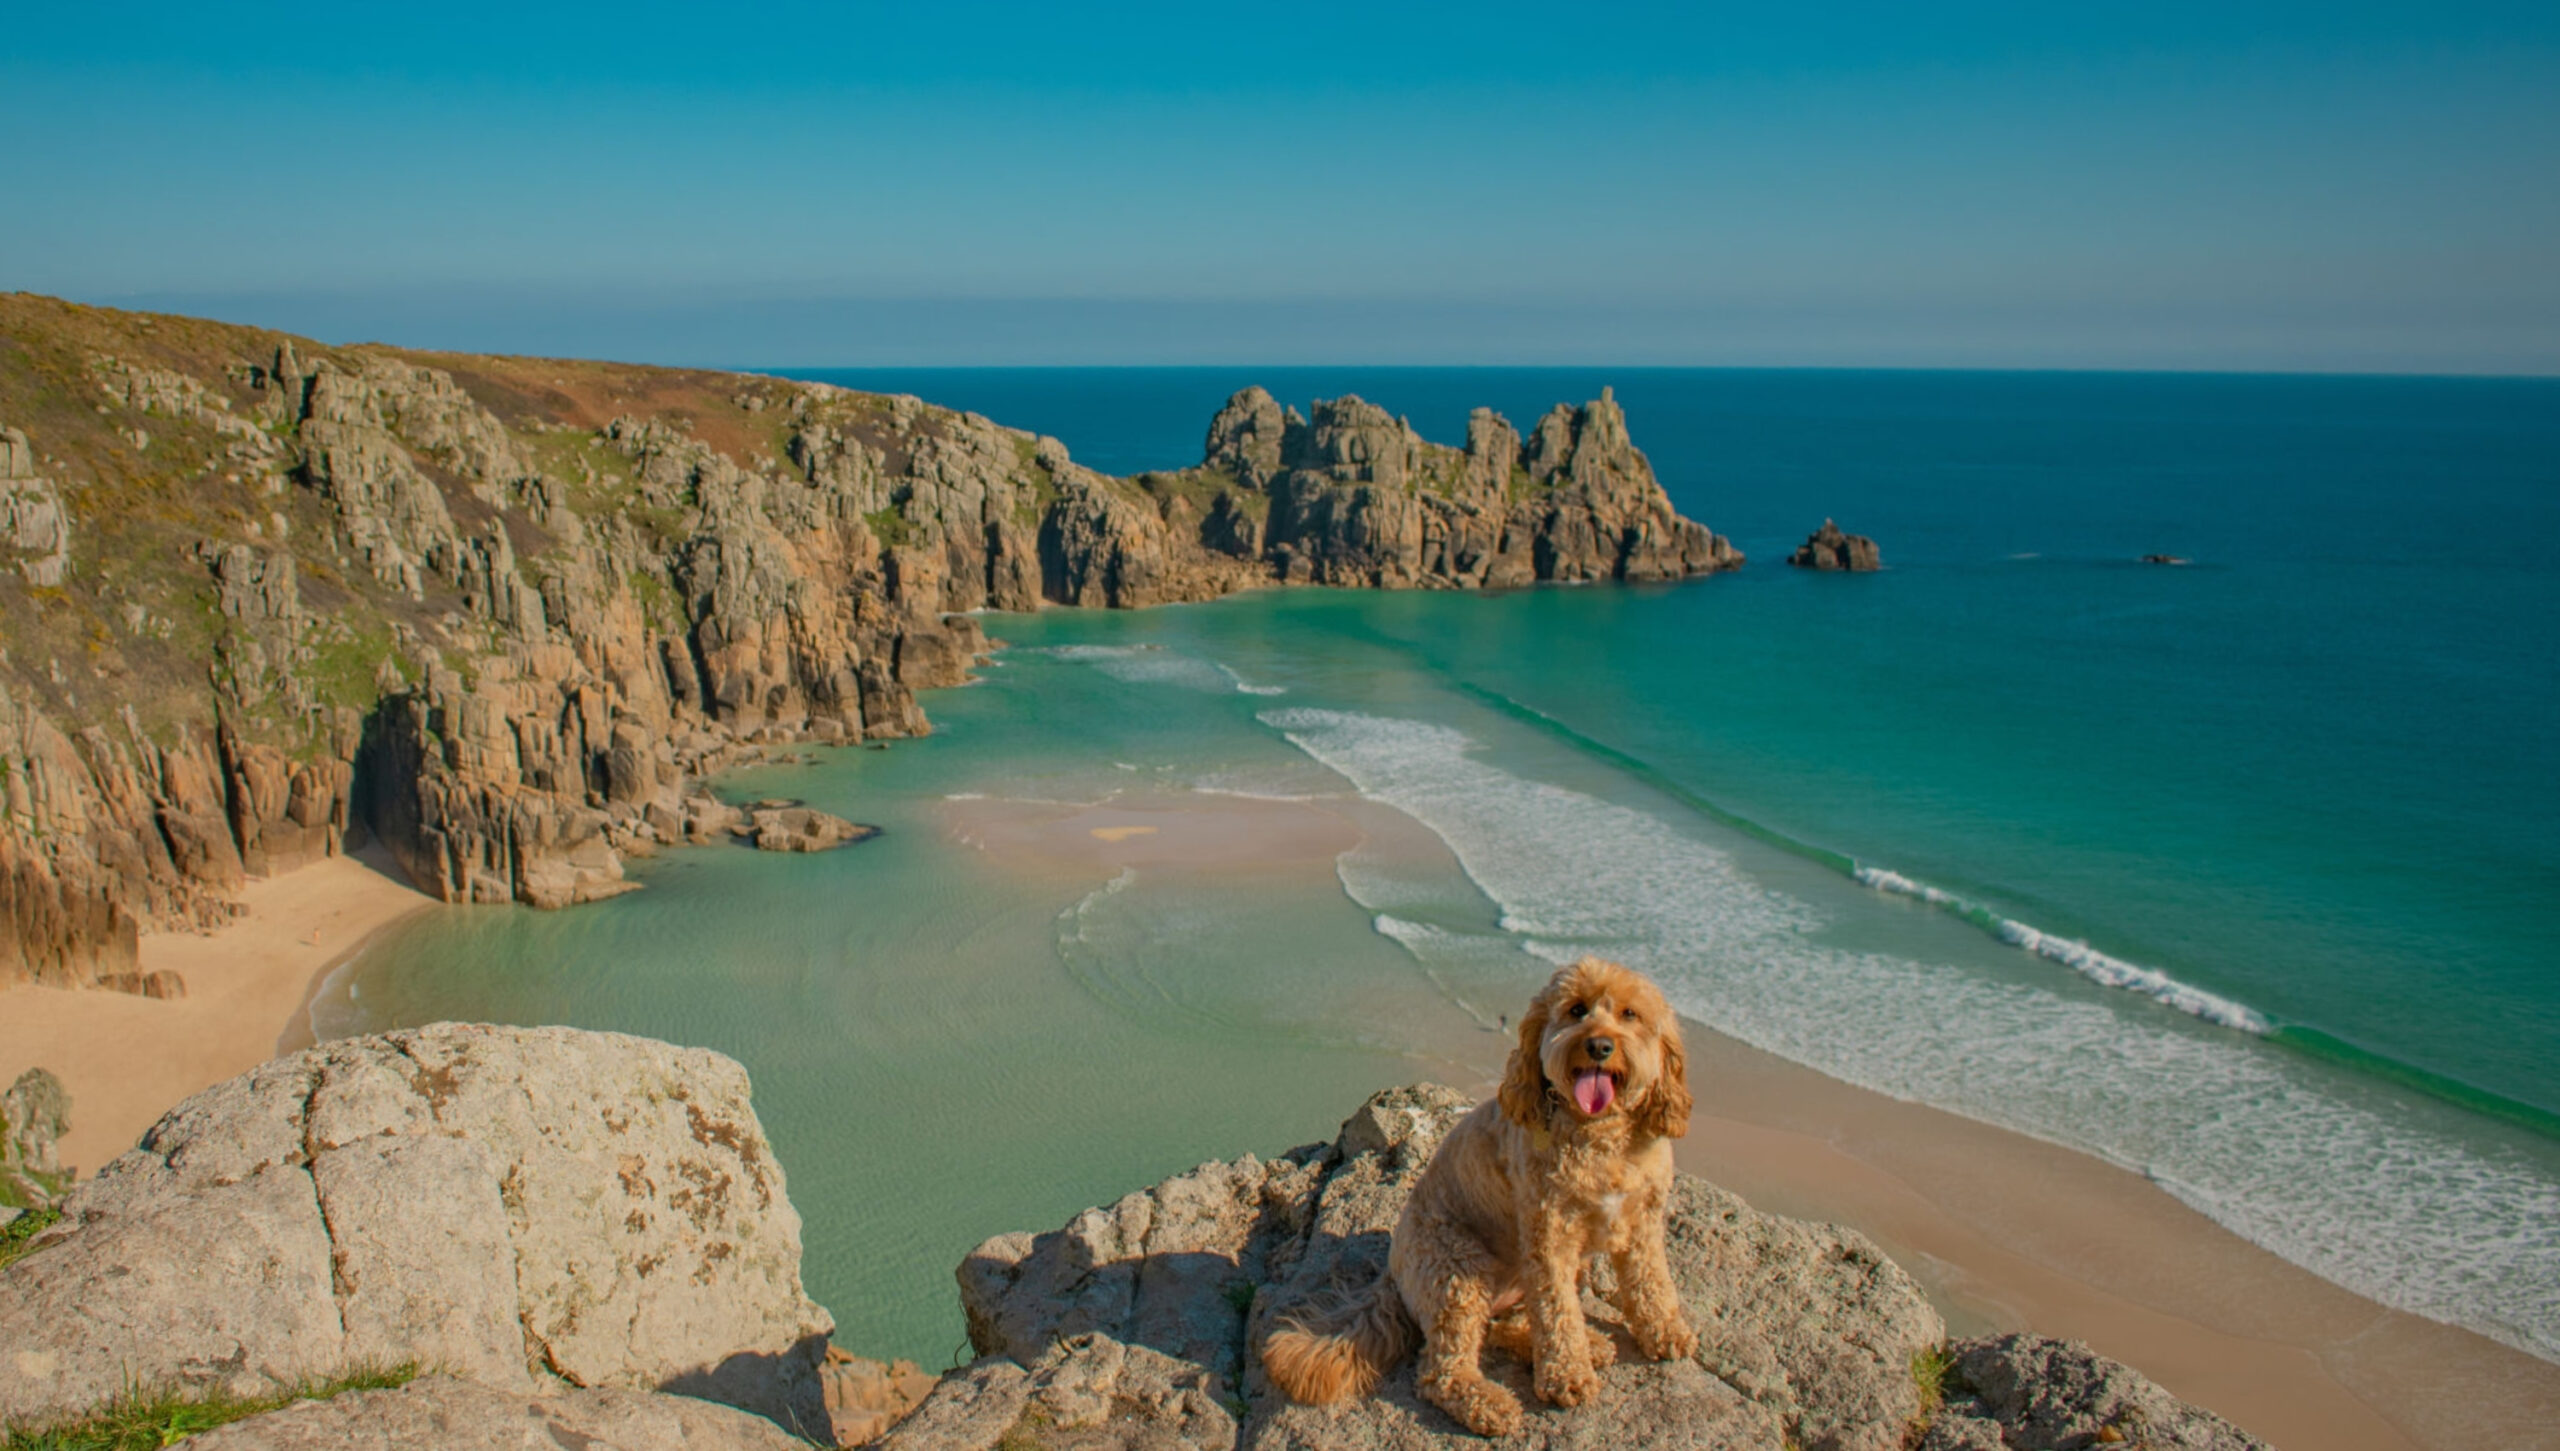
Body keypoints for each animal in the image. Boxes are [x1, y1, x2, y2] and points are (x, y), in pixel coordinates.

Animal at [1264, 957, 1699, 1433]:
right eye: (1576, 1010)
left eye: (1629, 1014)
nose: (1599, 1046)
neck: (1600, 1136)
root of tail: (1393, 1277)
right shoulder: (1549, 1241)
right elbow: (1558, 1313)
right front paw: (1567, 1375)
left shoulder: (1642, 1226)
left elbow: (1652, 1283)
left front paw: (1665, 1332)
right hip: (1458, 1269)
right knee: (1443, 1370)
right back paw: (1490, 1401)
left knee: (1504, 1324)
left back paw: (1586, 1344)